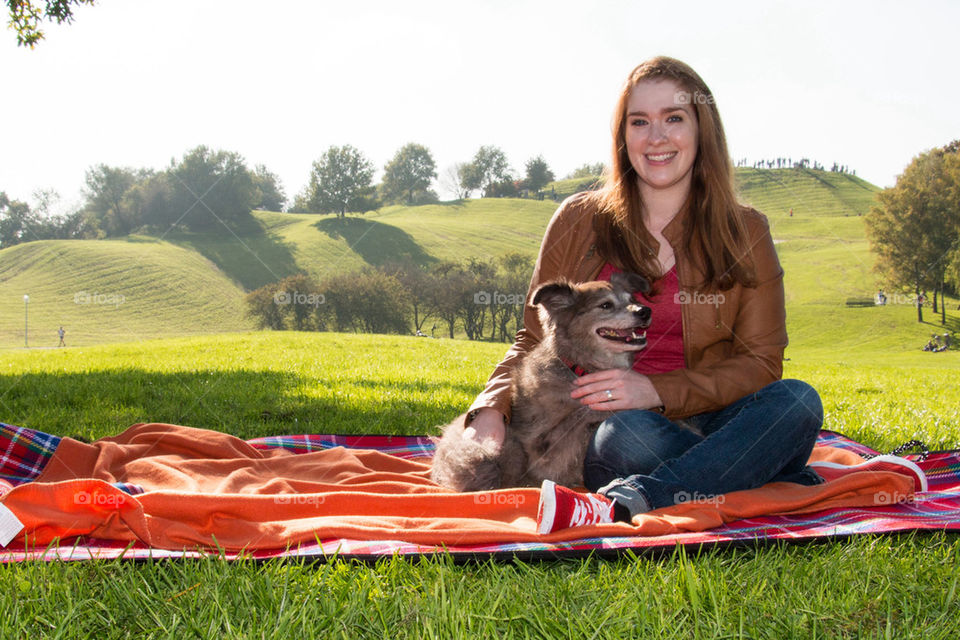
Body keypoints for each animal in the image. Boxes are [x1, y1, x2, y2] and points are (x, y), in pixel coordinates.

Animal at [434, 272, 652, 492]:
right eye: (605, 305)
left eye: (632, 299)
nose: (645, 311)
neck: (578, 368)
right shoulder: (545, 447)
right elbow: (587, 414)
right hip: (489, 454)